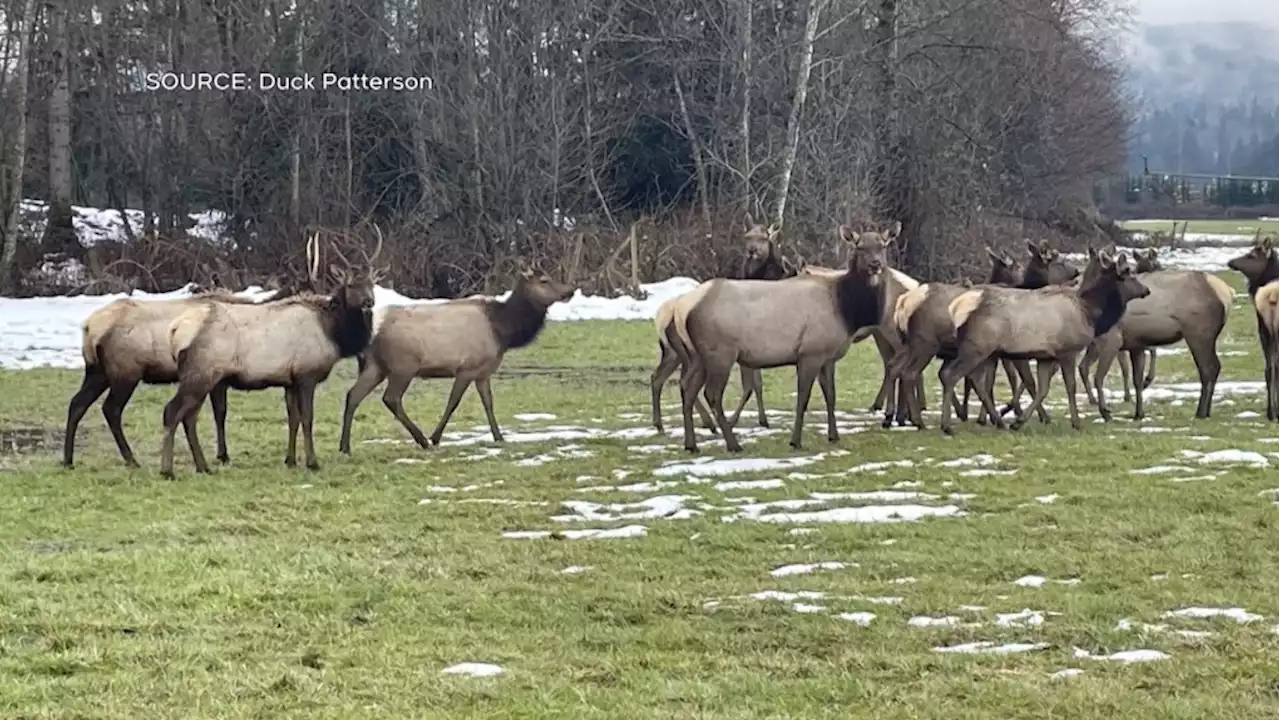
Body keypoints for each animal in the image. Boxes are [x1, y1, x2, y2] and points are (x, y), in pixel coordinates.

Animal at [62, 285, 280, 471]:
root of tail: (88, 328)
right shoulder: (216, 377)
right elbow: (220, 413)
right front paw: (223, 455)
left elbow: (218, 412)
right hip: (125, 374)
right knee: (111, 409)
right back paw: (131, 460)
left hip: (97, 372)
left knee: (77, 403)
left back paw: (68, 460)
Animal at [340, 263, 581, 453]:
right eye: (544, 280)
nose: (570, 290)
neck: (503, 332)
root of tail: (372, 332)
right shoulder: (467, 368)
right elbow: (453, 402)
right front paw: (435, 437)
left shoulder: (483, 372)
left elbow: (489, 403)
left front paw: (499, 436)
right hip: (403, 366)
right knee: (390, 398)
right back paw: (421, 439)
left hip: (376, 366)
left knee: (353, 395)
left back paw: (344, 446)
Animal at [670, 221, 901, 450]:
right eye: (860, 247)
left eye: (883, 246)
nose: (875, 264)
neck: (846, 310)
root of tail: (685, 309)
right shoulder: (810, 353)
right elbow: (803, 398)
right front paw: (795, 440)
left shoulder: (828, 357)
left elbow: (831, 396)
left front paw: (834, 435)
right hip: (720, 353)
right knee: (712, 394)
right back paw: (733, 443)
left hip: (699, 356)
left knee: (687, 388)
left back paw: (691, 444)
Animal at [936, 245, 1157, 430]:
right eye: (1129, 273)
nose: (1146, 290)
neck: (1090, 313)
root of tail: (959, 307)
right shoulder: (1068, 350)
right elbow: (1070, 386)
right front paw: (1076, 422)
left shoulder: (1046, 356)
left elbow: (1042, 388)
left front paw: (1019, 421)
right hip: (977, 347)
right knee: (951, 375)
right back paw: (947, 425)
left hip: (986, 352)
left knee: (974, 380)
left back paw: (997, 421)